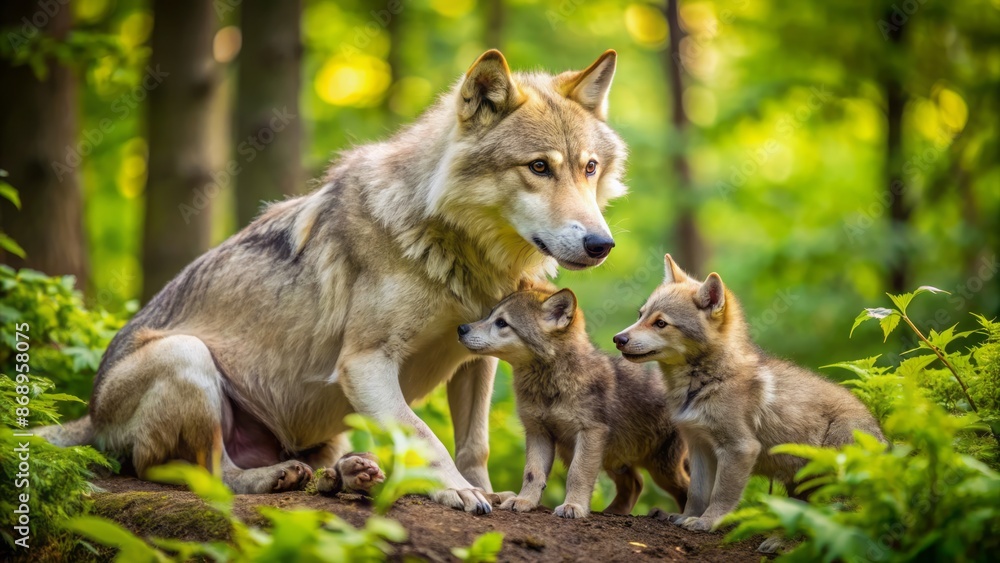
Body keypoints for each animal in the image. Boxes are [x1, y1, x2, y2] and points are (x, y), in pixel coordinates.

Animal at [37, 49, 628, 514]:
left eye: (589, 168)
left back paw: (347, 475)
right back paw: (275, 477)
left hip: (322, 430)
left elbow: (472, 444)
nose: (601, 245)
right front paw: (456, 491)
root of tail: (90, 416)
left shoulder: (476, 358)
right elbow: (424, 435)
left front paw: (489, 492)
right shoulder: (366, 365)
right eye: (539, 167)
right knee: (207, 473)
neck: (450, 244)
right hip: (187, 357)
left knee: (308, 469)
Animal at [458, 287, 688, 518]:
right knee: (635, 483)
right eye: (489, 315)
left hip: (663, 468)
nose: (461, 328)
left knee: (685, 487)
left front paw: (573, 506)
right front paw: (524, 501)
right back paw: (613, 512)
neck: (549, 384)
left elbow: (577, 475)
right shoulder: (538, 432)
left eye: (501, 322)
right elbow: (532, 473)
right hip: (613, 459)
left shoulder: (590, 432)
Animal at [612, 255, 884, 539]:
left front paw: (707, 522)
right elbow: (696, 493)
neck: (709, 381)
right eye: (640, 315)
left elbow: (721, 495)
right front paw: (686, 517)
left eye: (660, 323)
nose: (618, 339)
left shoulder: (739, 448)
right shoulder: (699, 446)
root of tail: (884, 442)